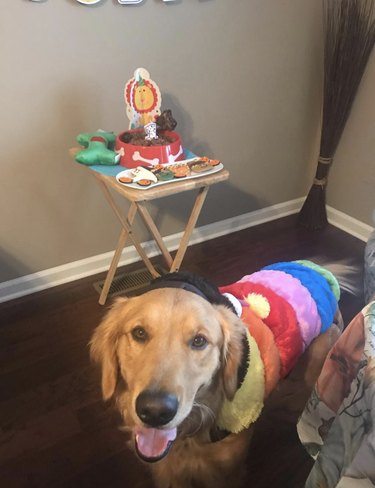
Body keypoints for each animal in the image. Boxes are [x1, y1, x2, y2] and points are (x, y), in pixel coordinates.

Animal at [91, 268, 344, 486]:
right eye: (139, 333)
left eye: (199, 341)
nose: (155, 411)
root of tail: (317, 270)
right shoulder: (169, 471)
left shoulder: (226, 470)